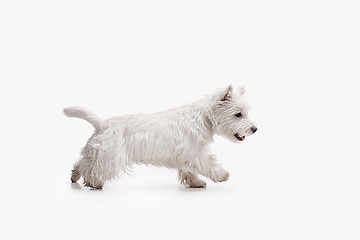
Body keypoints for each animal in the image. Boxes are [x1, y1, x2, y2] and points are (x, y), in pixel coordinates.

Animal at [64, 85, 256, 188]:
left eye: (245, 112)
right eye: (238, 114)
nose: (255, 129)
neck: (204, 118)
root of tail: (101, 124)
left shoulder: (188, 155)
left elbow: (189, 170)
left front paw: (195, 182)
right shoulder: (193, 153)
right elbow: (207, 164)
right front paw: (222, 175)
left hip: (96, 151)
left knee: (82, 162)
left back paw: (74, 176)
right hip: (109, 155)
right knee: (93, 169)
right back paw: (94, 183)